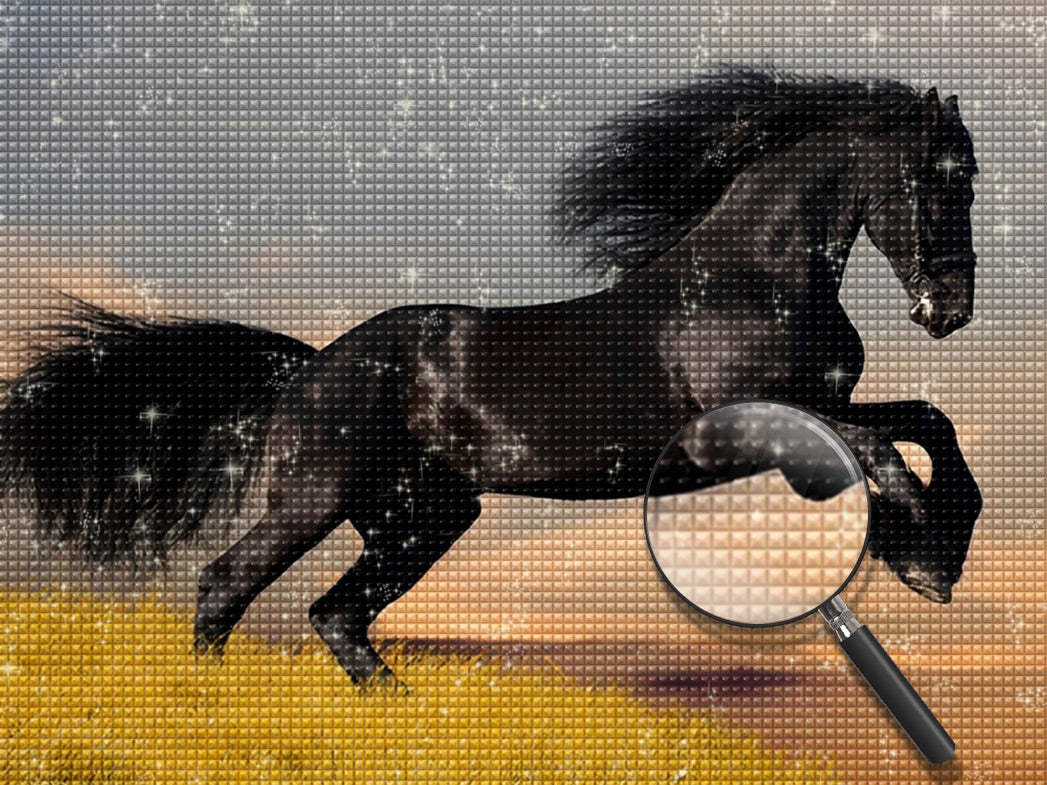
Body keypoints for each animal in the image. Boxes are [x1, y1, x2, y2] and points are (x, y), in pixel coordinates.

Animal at [0, 69, 983, 685]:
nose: (950, 309)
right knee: (224, 585)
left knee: (336, 615)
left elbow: (926, 421)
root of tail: (308, 367)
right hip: (316, 498)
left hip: (423, 516)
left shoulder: (822, 406)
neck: (751, 277)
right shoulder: (760, 426)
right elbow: (885, 452)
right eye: (938, 180)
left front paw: (929, 554)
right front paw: (922, 560)